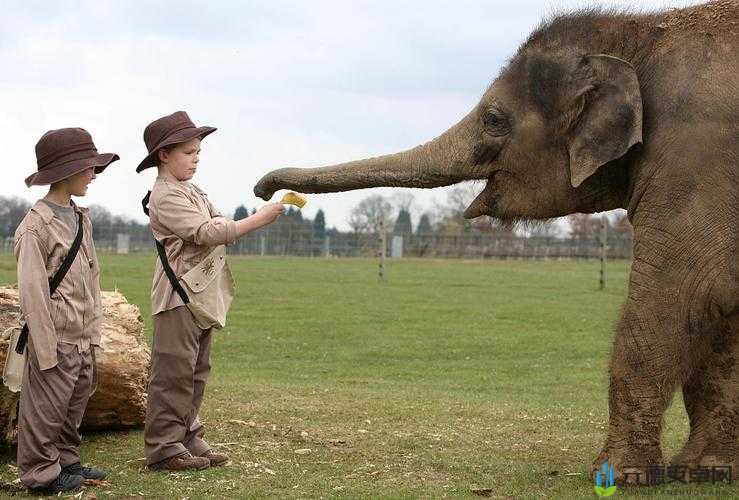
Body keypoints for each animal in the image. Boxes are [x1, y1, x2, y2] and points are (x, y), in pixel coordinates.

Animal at [256, 0, 739, 484]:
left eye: (493, 119)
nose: (263, 189)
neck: (643, 29)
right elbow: (721, 315)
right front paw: (707, 470)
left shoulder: (693, 160)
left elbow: (679, 294)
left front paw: (618, 476)